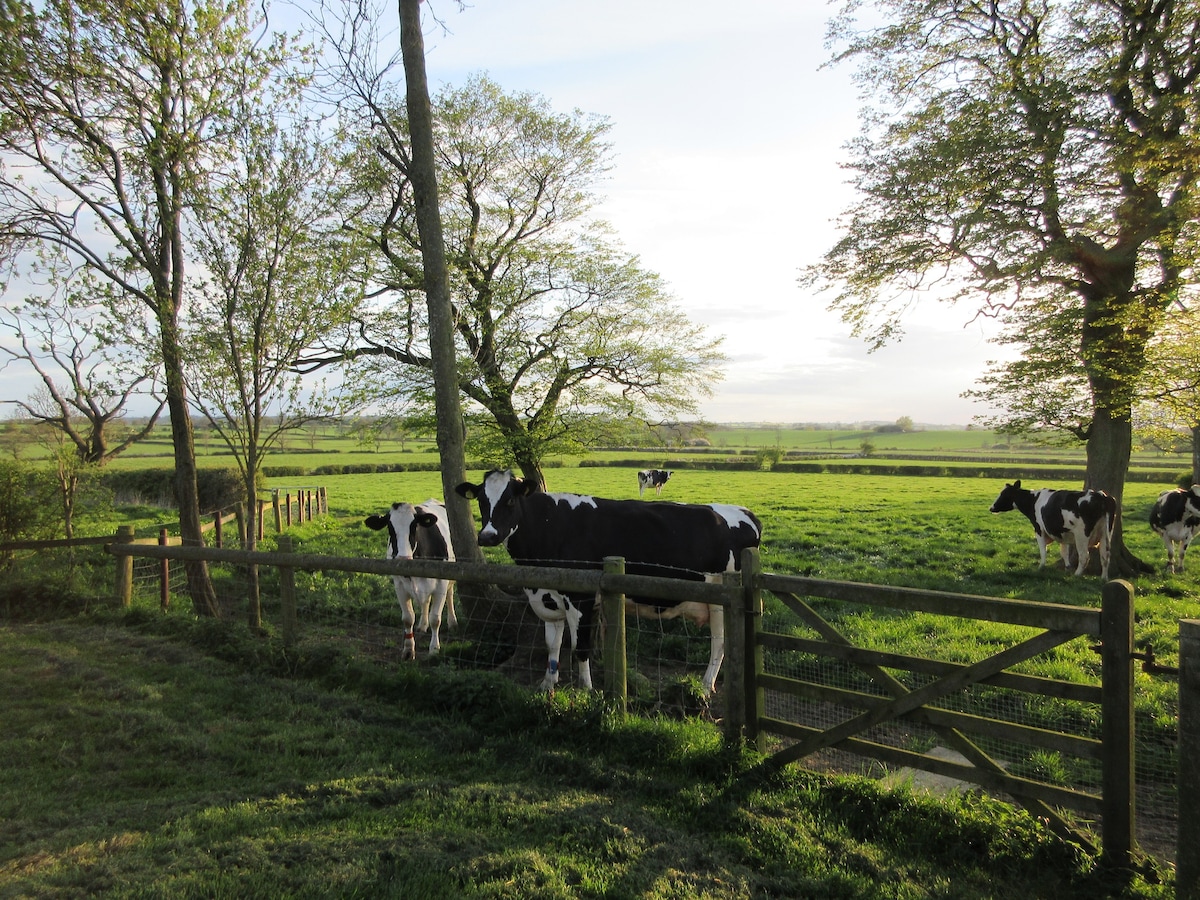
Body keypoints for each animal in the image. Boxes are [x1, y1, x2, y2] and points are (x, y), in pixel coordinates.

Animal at [362, 496, 456, 657]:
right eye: (390, 528)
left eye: (414, 527)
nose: (403, 559)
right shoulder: (399, 586)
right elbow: (408, 618)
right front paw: (408, 649)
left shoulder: (441, 585)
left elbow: (435, 619)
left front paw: (434, 649)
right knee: (425, 602)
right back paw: (422, 625)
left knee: (450, 595)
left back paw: (452, 621)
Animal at [453, 472, 763, 696]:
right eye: (481, 501)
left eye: (509, 501)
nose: (487, 536)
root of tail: (746, 513)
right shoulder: (548, 595)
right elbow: (552, 645)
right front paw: (547, 684)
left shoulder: (581, 598)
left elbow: (580, 648)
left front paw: (586, 689)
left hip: (720, 600)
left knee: (720, 644)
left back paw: (705, 686)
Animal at [988, 482, 1118, 580]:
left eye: (1003, 494)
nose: (991, 508)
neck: (1034, 500)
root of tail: (1101, 495)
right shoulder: (1064, 533)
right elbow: (1064, 552)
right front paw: (1067, 568)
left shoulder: (1039, 529)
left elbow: (1043, 551)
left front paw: (1041, 567)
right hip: (1105, 533)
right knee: (1105, 555)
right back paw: (1104, 578)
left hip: (1082, 535)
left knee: (1084, 556)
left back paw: (1077, 575)